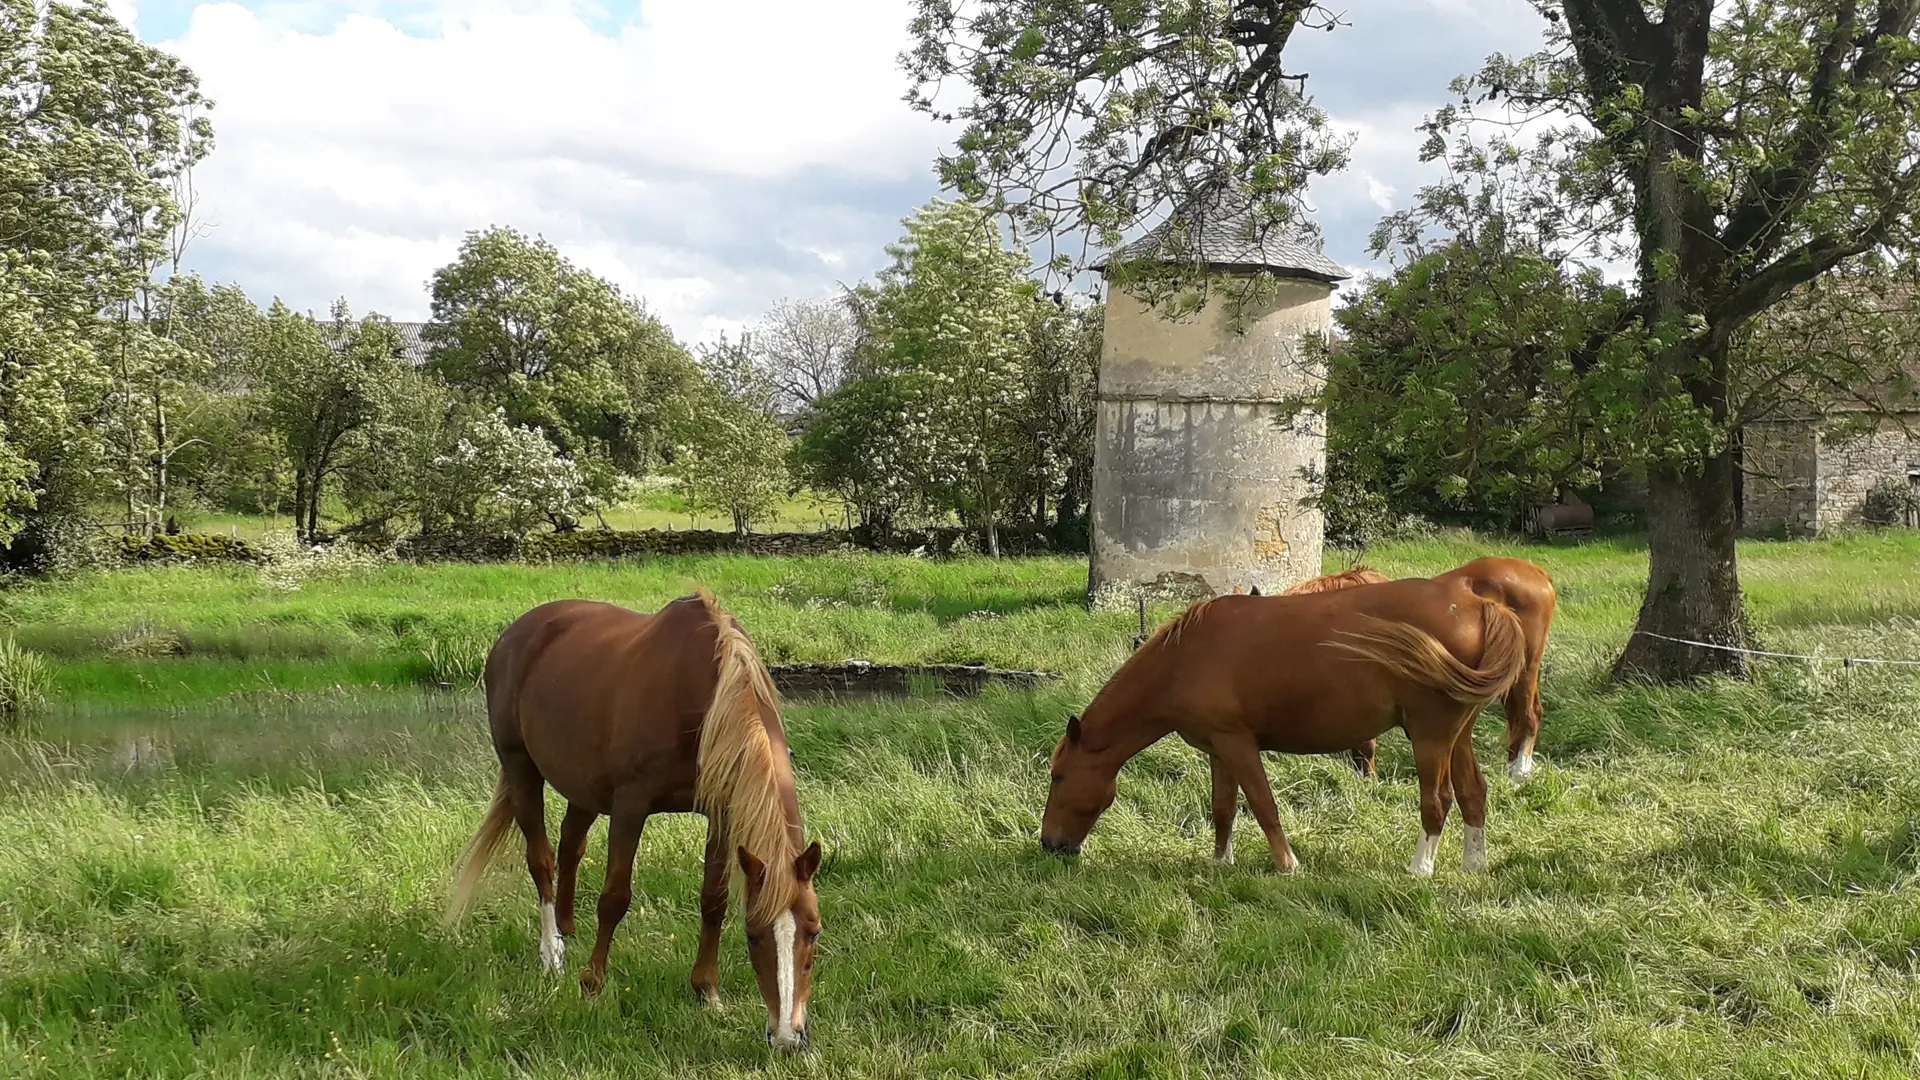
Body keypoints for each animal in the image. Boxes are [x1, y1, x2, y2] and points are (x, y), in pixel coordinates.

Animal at [445, 591, 821, 1045]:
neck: (702, 697)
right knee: (543, 860)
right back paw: (552, 953)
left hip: (584, 787)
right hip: (522, 771)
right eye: (752, 935)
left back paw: (568, 932)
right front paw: (592, 985)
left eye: (814, 931)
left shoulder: (721, 811)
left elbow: (713, 899)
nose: (787, 1036)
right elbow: (614, 898)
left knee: (571, 846)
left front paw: (707, 991)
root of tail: (514, 634)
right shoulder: (630, 805)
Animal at [1044, 580, 1520, 876]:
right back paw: (1473, 863)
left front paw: (1288, 865)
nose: (1049, 844)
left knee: (1437, 802)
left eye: (1058, 776)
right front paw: (1221, 863)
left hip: (1430, 737)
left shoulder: (1238, 744)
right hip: (1457, 737)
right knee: (1473, 793)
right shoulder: (1219, 749)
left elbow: (1262, 805)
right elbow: (1223, 809)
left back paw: (1420, 868)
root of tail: (1478, 605)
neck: (1185, 658)